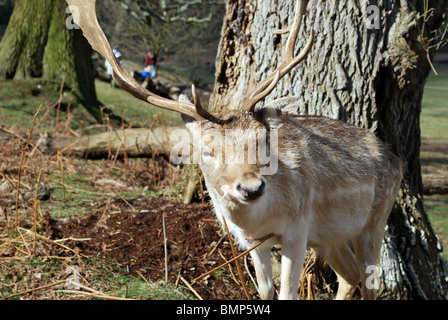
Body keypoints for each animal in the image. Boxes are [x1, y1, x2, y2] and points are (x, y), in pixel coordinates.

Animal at [68, 0, 404, 300]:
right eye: (206, 151)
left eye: (262, 139)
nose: (252, 187)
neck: (261, 218)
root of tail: (395, 158)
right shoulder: (252, 240)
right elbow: (265, 290)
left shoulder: (298, 226)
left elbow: (287, 293)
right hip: (328, 237)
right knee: (350, 276)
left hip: (376, 218)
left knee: (370, 282)